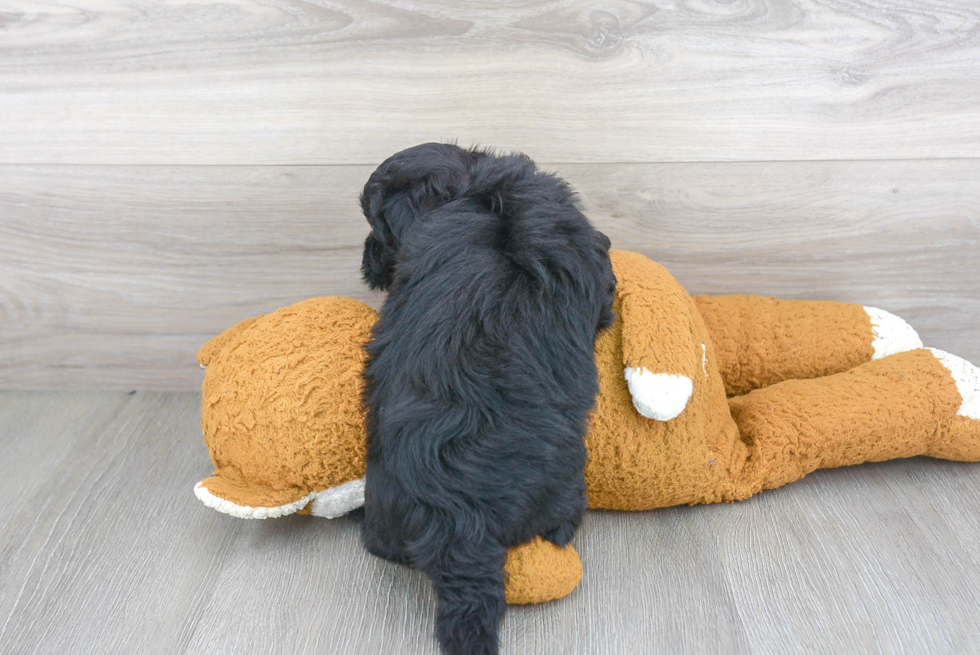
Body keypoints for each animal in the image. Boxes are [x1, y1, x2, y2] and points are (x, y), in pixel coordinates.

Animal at [358, 144, 612, 655]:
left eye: (377, 226)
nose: (366, 257)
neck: (476, 190)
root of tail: (461, 522)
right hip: (565, 483)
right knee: (561, 522)